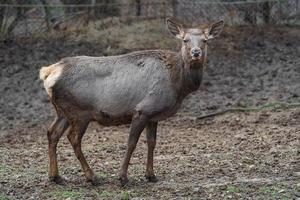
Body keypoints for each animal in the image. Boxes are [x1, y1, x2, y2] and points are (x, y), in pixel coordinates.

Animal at [39, 17, 223, 186]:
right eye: (185, 40)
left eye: (205, 40)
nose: (196, 53)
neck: (179, 85)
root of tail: (48, 72)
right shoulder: (143, 109)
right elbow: (131, 143)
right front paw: (123, 177)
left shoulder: (153, 115)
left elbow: (152, 143)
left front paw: (151, 175)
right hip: (80, 111)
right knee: (73, 138)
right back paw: (92, 176)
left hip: (62, 111)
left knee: (52, 133)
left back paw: (55, 176)